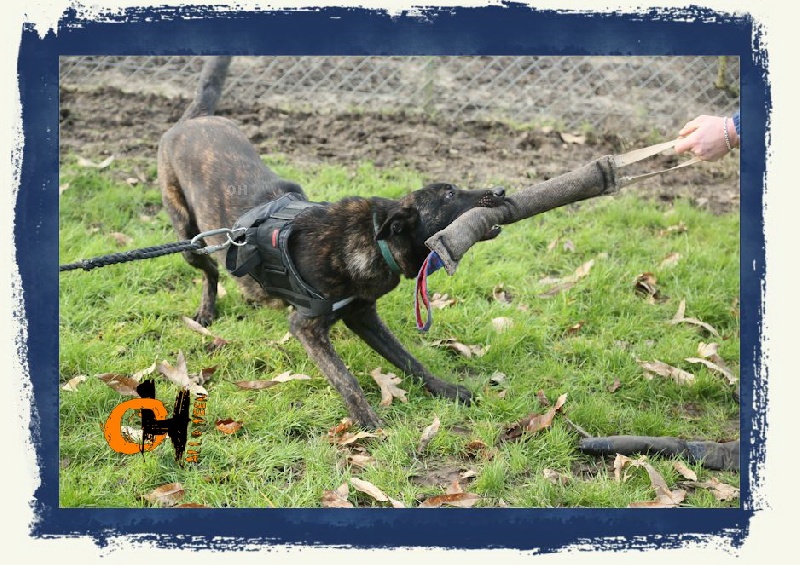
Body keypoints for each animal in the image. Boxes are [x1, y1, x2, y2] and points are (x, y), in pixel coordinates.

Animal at [158, 57, 505, 428]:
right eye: (450, 194)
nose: (500, 190)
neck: (371, 237)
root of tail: (193, 119)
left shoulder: (362, 314)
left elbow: (408, 359)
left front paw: (445, 390)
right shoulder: (307, 327)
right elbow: (345, 378)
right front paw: (367, 421)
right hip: (187, 236)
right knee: (209, 271)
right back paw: (207, 310)